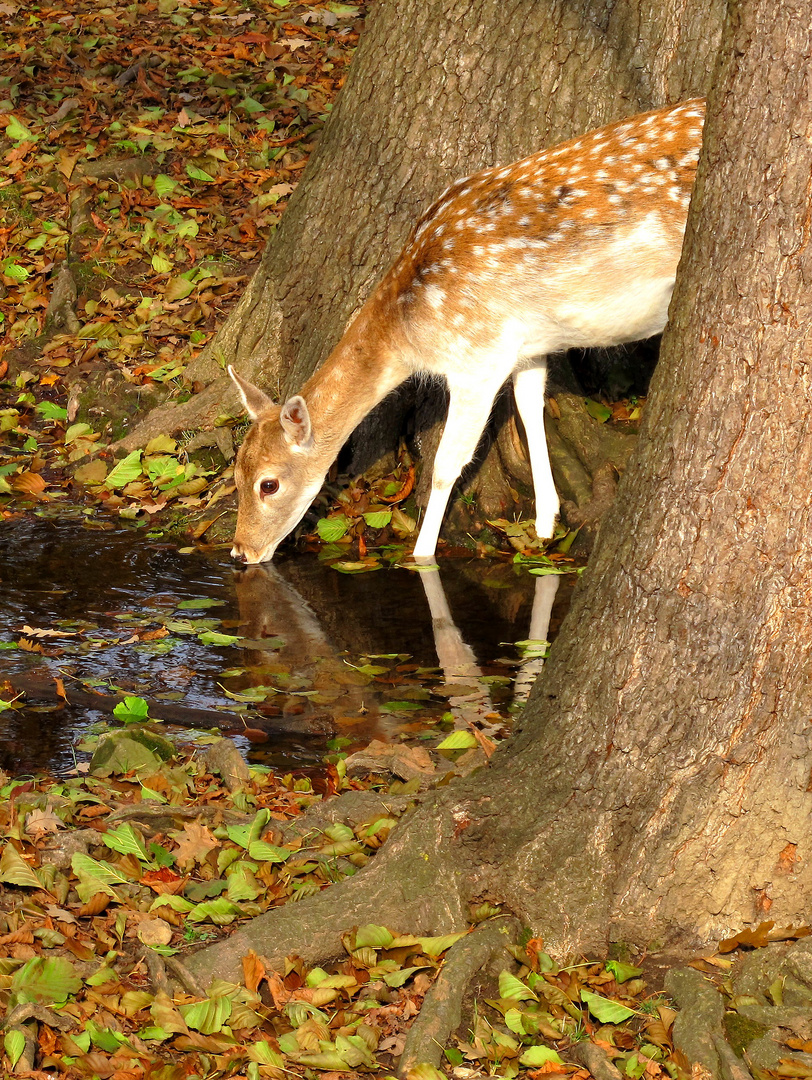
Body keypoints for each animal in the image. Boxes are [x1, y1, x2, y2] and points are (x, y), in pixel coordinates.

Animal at [228, 99, 704, 565]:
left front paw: (422, 556)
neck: (409, 331)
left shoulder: (477, 355)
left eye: (268, 484)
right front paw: (546, 521)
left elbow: (445, 464)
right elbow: (529, 406)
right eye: (235, 471)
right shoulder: (526, 344)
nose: (240, 551)